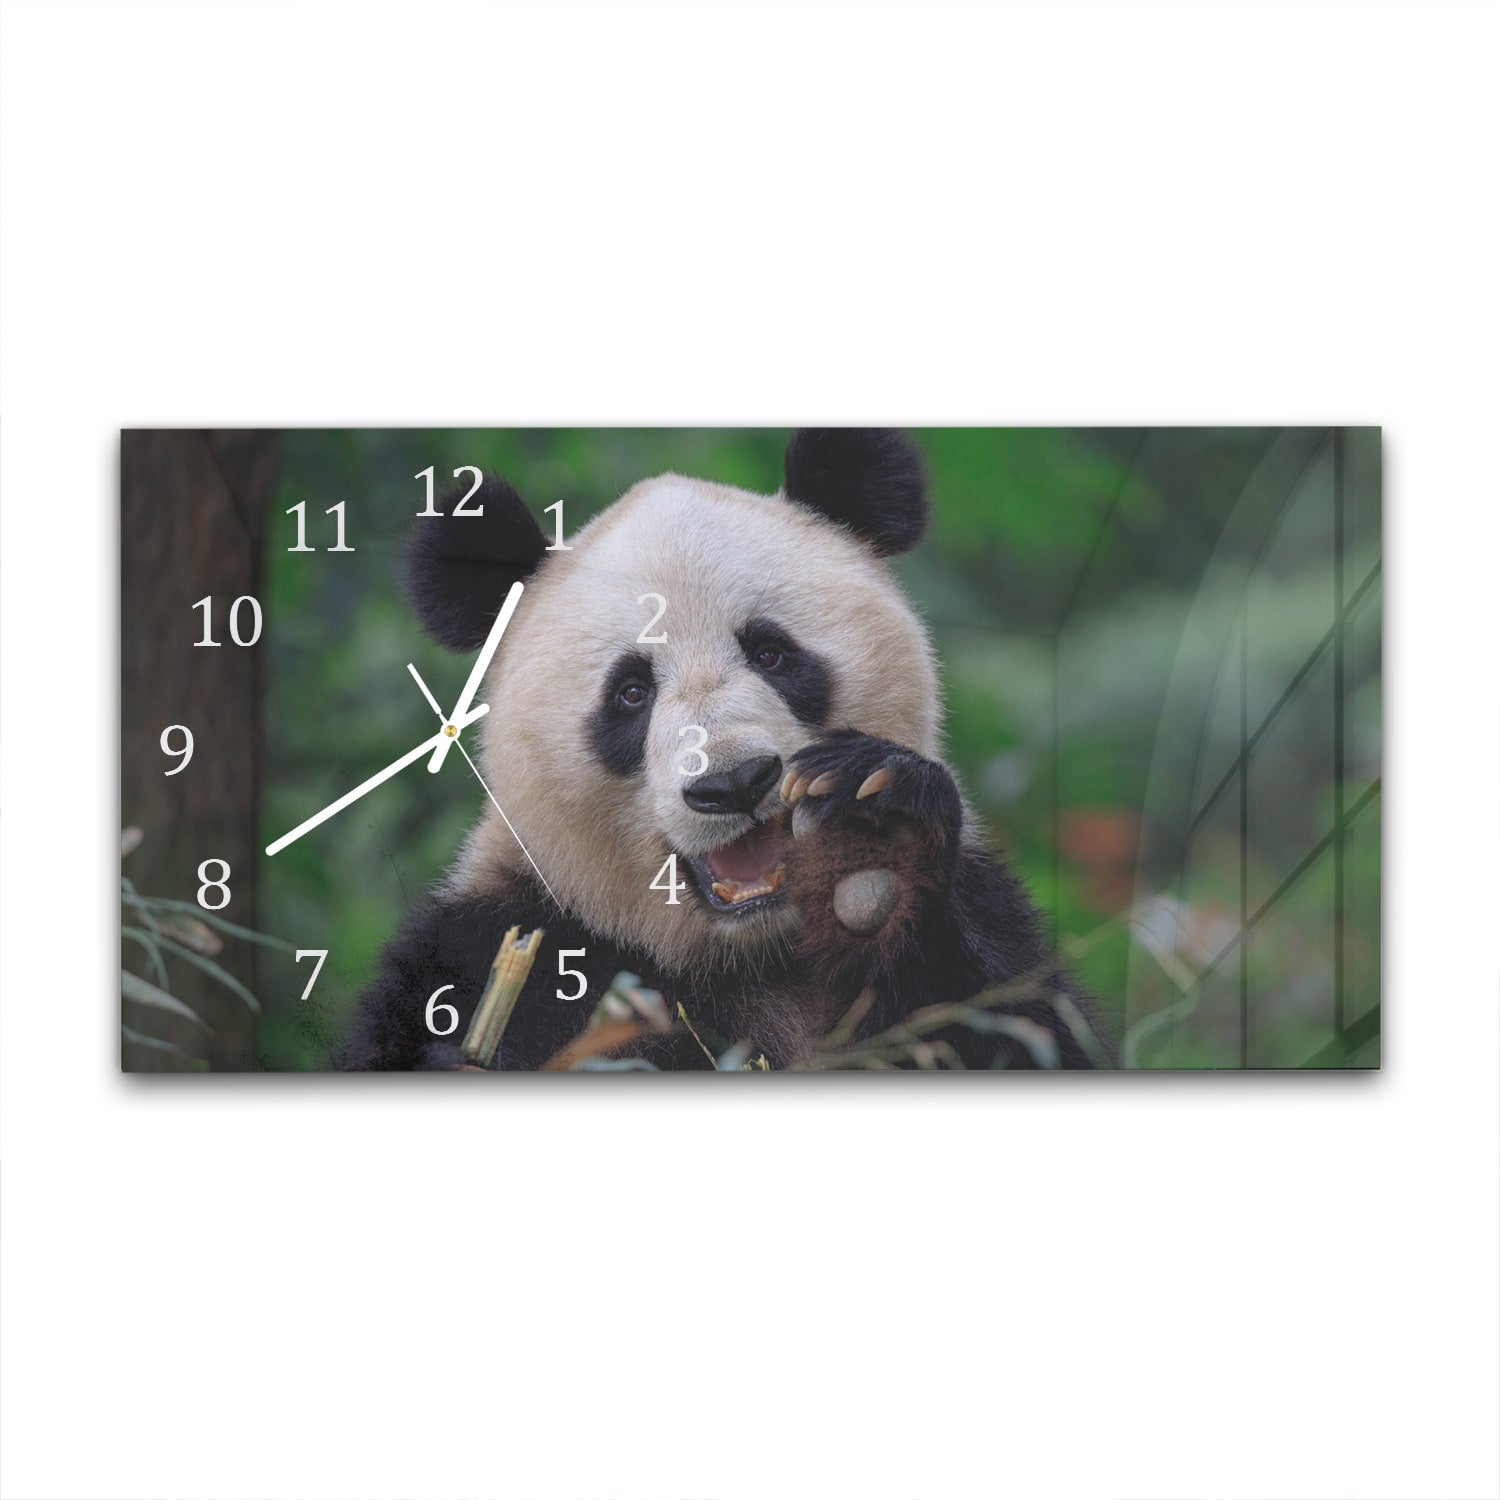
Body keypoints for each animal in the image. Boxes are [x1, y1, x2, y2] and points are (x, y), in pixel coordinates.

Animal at [337, 429, 1110, 1071]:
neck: (754, 956)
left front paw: (881, 840)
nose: (735, 783)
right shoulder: (497, 943)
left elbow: (1019, 1027)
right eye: (631, 692)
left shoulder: (989, 918)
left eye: (771, 652)